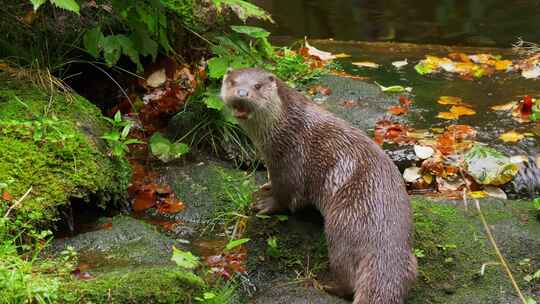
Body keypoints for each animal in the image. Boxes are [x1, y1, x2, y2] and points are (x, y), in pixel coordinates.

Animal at [219, 67, 418, 302]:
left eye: (257, 86)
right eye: (232, 82)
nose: (242, 93)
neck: (285, 126)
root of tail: (385, 246)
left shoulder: (290, 160)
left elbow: (285, 195)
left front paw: (265, 205)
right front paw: (265, 186)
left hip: (342, 228)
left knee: (347, 277)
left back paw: (326, 285)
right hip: (410, 261)